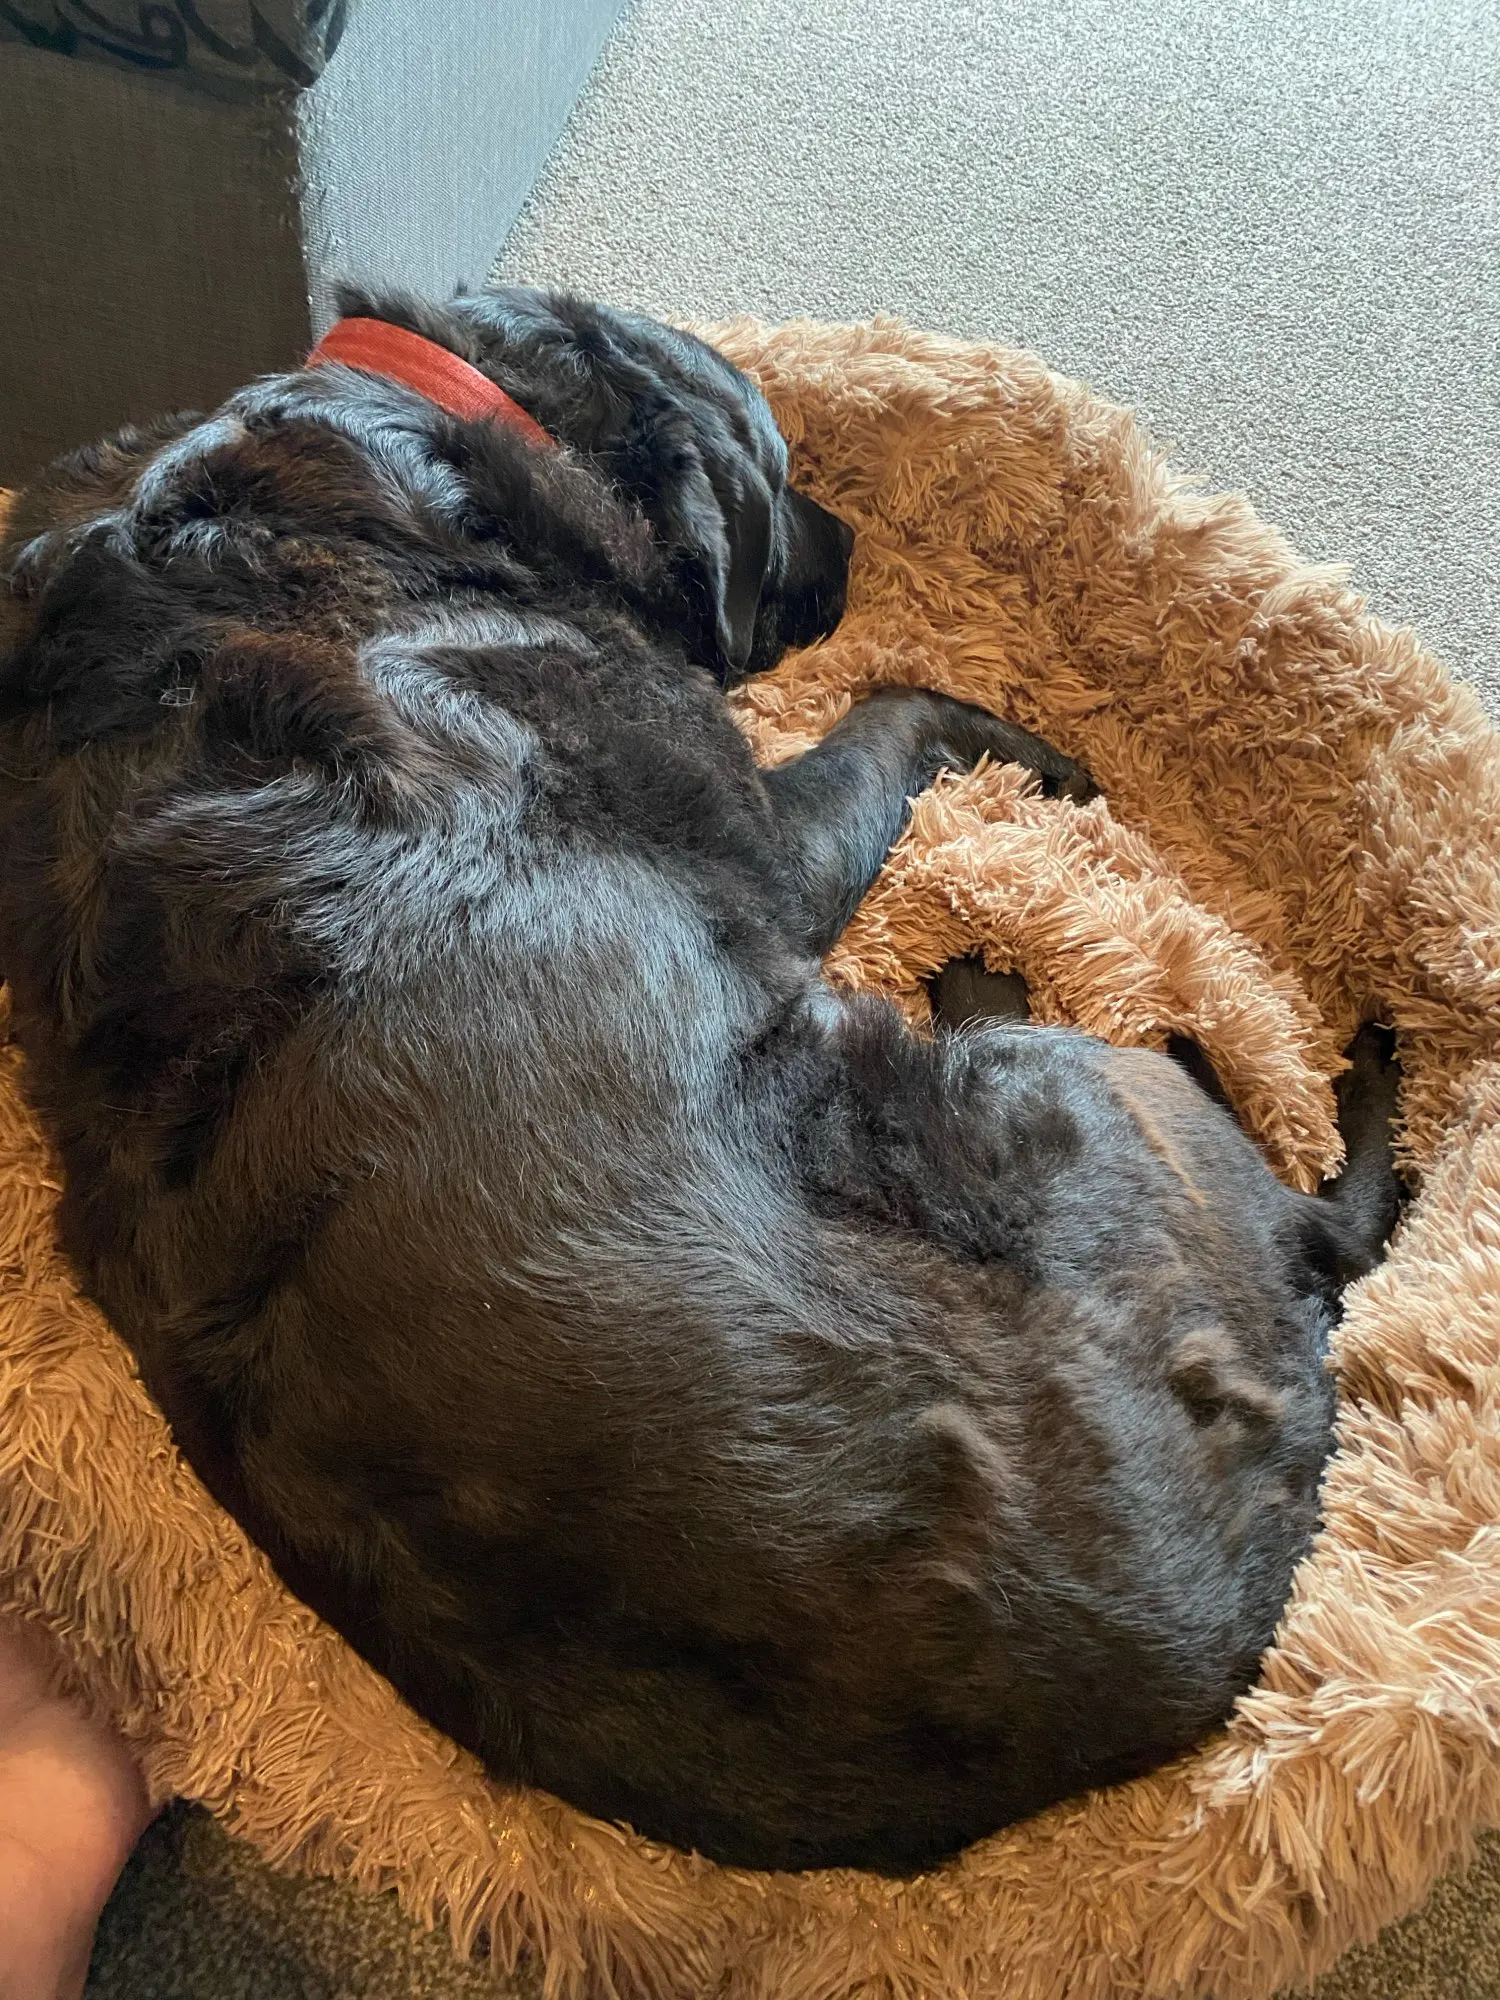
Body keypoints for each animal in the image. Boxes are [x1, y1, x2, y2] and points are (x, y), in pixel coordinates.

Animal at [0, 286, 1405, 1874]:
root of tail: (1190, 1660)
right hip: (1084, 1101)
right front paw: (1042, 753)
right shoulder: (783, 841)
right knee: (1323, 1211)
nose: (851, 546)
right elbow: (900, 705)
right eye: (776, 466)